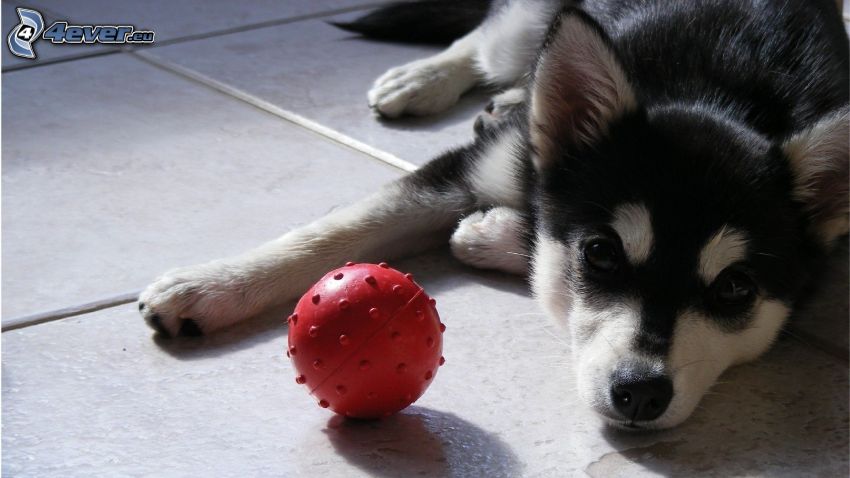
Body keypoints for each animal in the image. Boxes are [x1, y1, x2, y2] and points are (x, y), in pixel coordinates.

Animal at [141, 0, 848, 430]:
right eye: (600, 253)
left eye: (735, 289)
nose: (640, 393)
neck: (715, 95)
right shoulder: (470, 169)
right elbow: (340, 228)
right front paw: (209, 285)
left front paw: (502, 234)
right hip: (526, 29)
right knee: (486, 38)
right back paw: (428, 80)